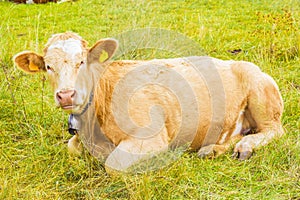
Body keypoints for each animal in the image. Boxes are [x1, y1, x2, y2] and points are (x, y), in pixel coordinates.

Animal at [13, 32, 284, 173]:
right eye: (49, 66)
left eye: (82, 62)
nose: (67, 95)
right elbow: (71, 147)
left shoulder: (151, 137)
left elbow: (114, 164)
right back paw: (213, 149)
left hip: (262, 96)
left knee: (274, 131)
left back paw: (245, 146)